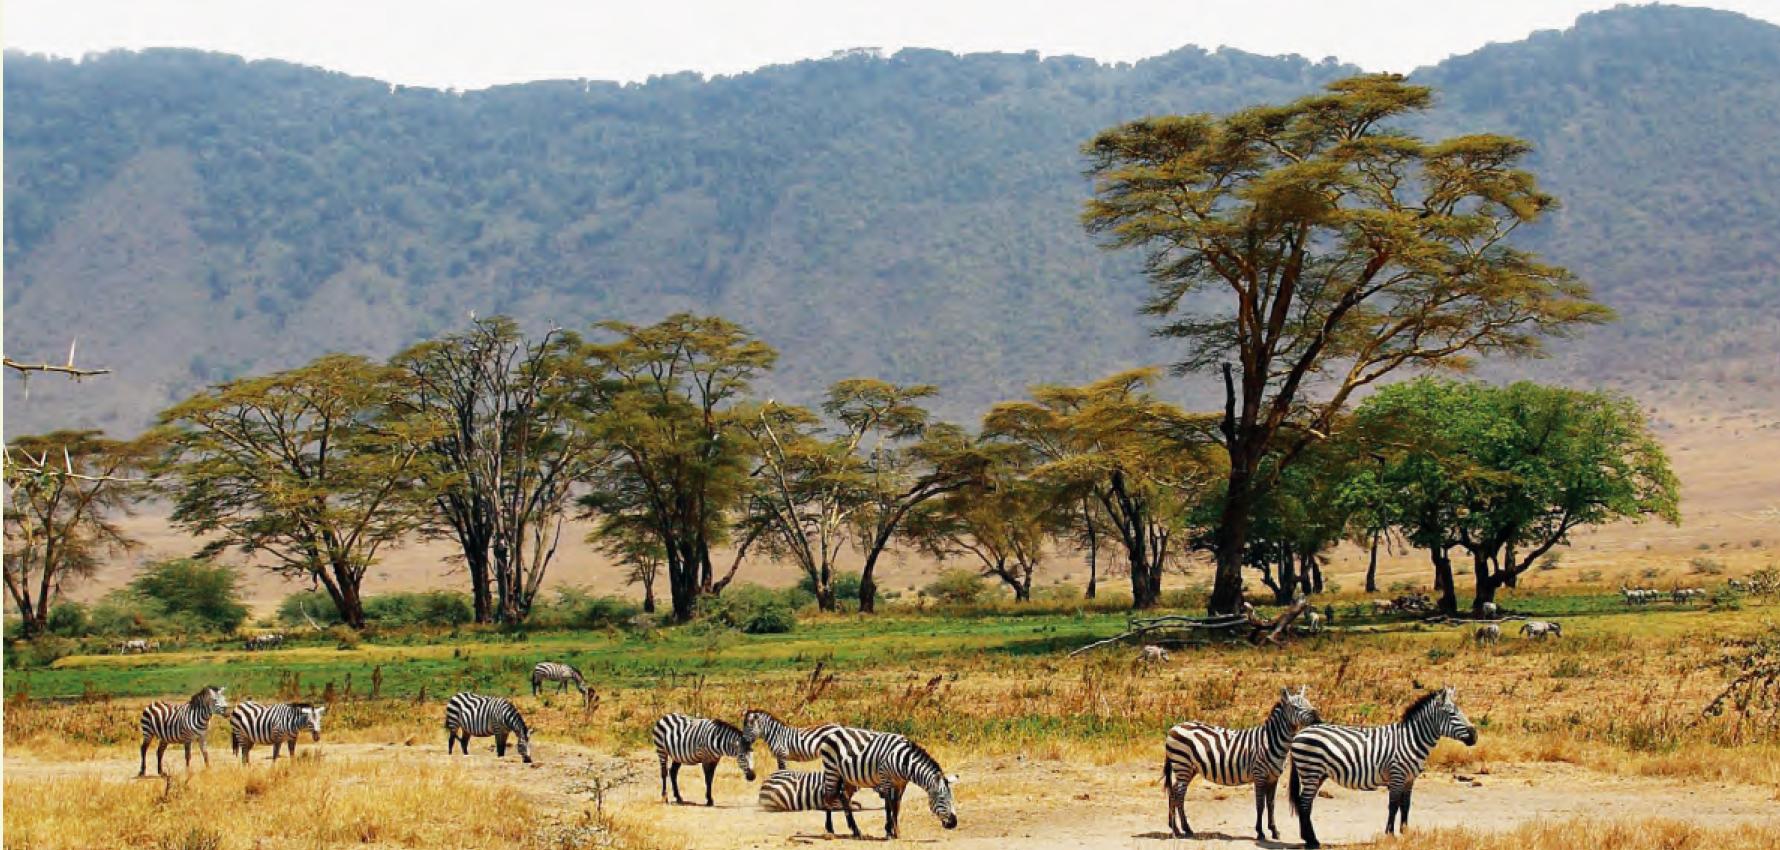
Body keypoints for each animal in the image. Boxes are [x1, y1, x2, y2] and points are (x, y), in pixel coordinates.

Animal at [818, 725, 961, 839]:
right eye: (942, 799)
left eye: (952, 799)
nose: (953, 823)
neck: (904, 762)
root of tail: (834, 732)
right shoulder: (885, 780)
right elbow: (888, 806)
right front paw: (889, 832)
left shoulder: (901, 784)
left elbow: (896, 806)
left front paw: (896, 832)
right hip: (832, 769)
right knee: (828, 797)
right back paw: (830, 831)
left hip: (849, 777)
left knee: (844, 797)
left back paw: (856, 831)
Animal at [1167, 682, 1324, 835]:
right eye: (1295, 707)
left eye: (1309, 703)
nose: (1318, 719)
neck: (1270, 740)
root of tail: (1175, 727)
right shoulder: (1259, 774)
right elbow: (1260, 804)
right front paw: (1260, 831)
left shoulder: (1274, 777)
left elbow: (1271, 804)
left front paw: (1274, 830)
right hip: (1183, 765)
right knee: (1179, 795)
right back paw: (1185, 828)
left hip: (1189, 768)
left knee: (1173, 791)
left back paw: (1174, 827)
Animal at [1288, 682, 1480, 850]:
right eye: (1452, 714)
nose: (1475, 736)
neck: (1412, 740)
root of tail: (1300, 732)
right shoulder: (1397, 775)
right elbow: (1393, 805)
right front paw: (1390, 835)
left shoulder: (1410, 779)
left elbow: (1406, 805)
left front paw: (1405, 832)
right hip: (1311, 770)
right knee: (1304, 803)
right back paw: (1312, 841)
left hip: (1318, 774)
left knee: (1306, 803)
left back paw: (1309, 838)